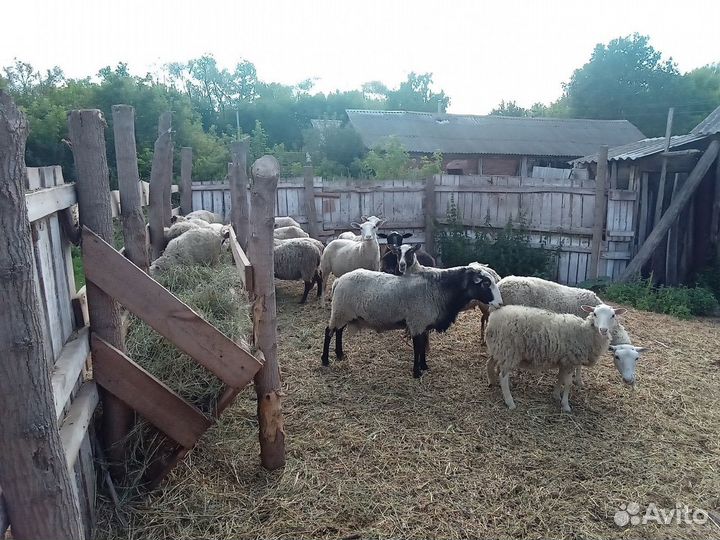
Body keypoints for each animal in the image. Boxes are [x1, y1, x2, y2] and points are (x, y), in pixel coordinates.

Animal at [322, 264, 503, 378]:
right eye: (485, 283)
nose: (500, 303)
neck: (440, 290)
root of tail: (338, 281)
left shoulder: (422, 325)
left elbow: (422, 347)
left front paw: (424, 366)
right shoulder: (416, 322)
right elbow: (417, 348)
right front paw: (416, 372)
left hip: (344, 313)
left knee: (338, 332)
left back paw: (340, 354)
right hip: (340, 311)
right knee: (329, 332)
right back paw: (325, 360)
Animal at [485, 303, 627, 412]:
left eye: (613, 315)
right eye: (595, 314)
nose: (603, 330)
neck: (585, 332)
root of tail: (493, 318)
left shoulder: (563, 361)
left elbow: (560, 378)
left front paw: (556, 396)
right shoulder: (570, 361)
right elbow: (568, 383)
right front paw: (565, 405)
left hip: (498, 349)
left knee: (490, 363)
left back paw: (492, 381)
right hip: (509, 351)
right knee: (503, 376)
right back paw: (510, 402)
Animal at [495, 275, 633, 386]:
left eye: (636, 359)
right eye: (617, 357)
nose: (629, 380)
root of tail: (501, 283)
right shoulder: (582, 339)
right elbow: (578, 365)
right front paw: (578, 381)